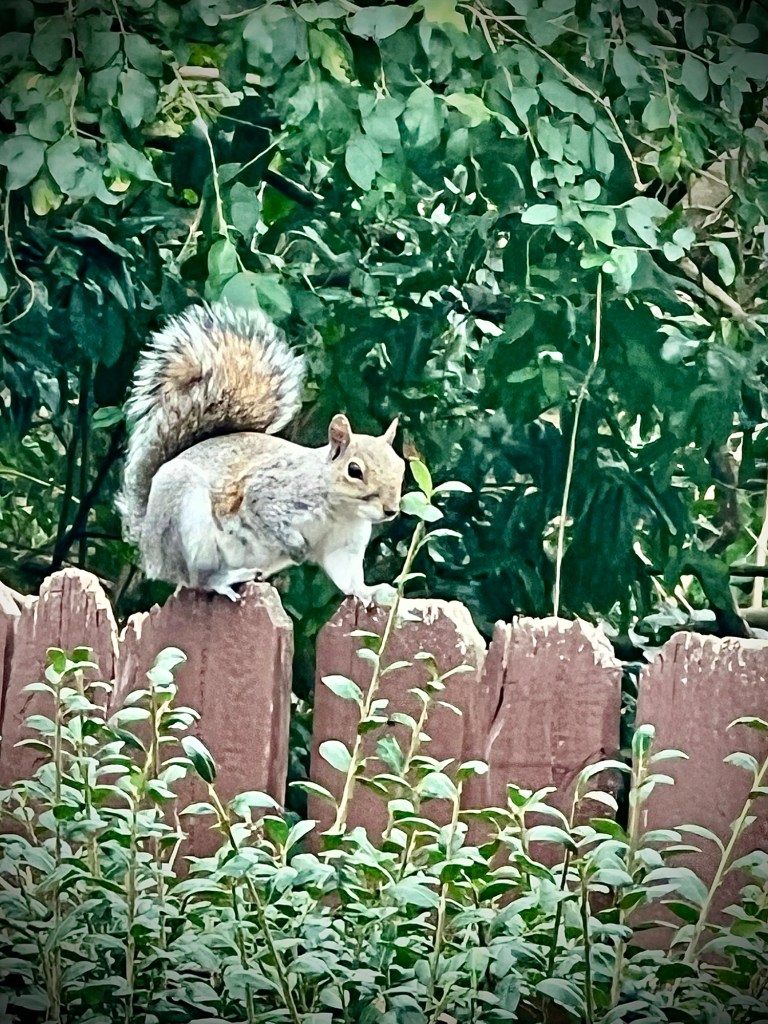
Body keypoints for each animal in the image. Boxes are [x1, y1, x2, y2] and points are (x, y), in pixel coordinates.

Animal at [117, 302, 405, 603]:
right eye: (354, 470)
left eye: (401, 467)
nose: (390, 510)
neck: (342, 511)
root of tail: (148, 541)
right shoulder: (272, 494)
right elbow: (264, 513)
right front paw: (296, 547)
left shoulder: (343, 546)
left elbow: (348, 578)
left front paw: (369, 591)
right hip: (185, 515)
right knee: (197, 578)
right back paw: (223, 578)